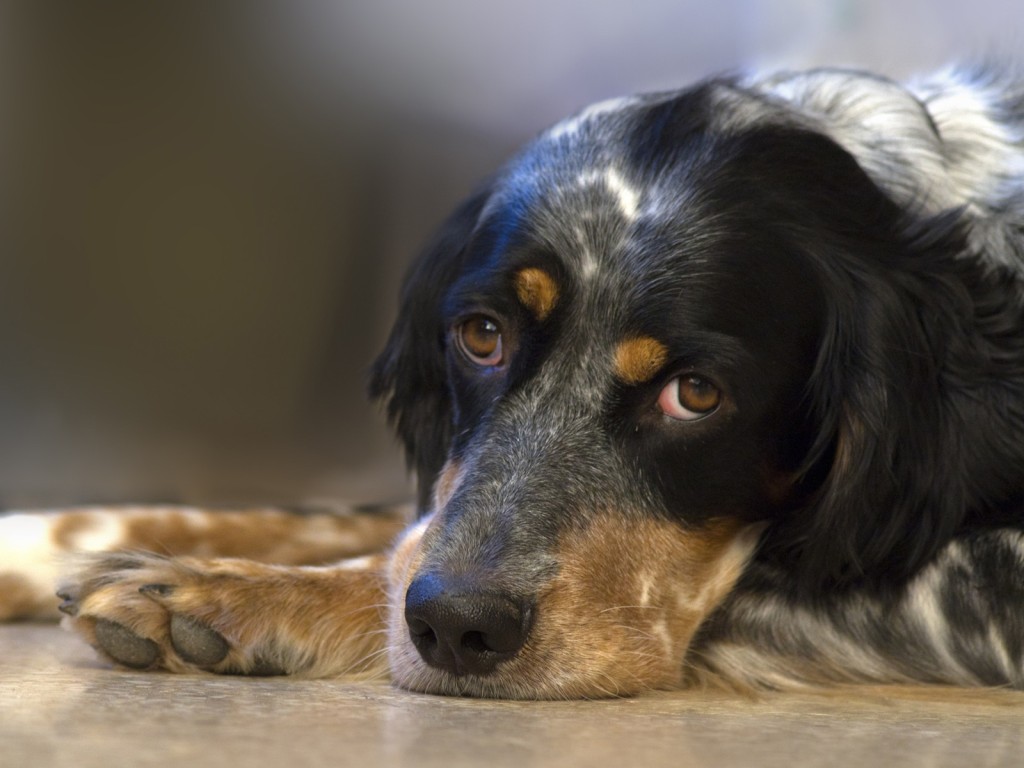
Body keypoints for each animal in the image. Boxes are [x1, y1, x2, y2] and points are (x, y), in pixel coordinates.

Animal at [2, 67, 1024, 704]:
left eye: (696, 394)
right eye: (482, 336)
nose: (457, 627)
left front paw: (228, 596)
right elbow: (378, 524)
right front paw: (45, 541)